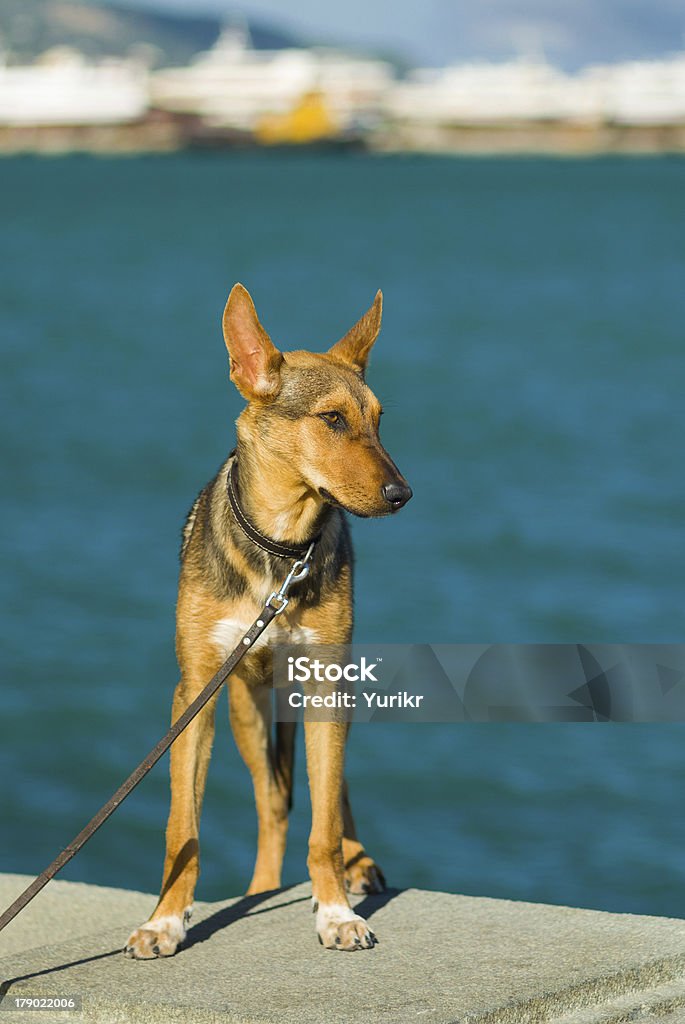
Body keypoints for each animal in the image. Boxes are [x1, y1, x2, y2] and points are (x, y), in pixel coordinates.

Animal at [124, 284, 411, 954]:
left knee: (328, 793)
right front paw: (165, 920)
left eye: (379, 419)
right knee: (273, 803)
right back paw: (261, 888)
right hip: (245, 708)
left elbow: (324, 821)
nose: (402, 494)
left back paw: (356, 863)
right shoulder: (195, 693)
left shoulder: (329, 682)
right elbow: (183, 828)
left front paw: (335, 912)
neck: (280, 551)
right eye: (332, 419)